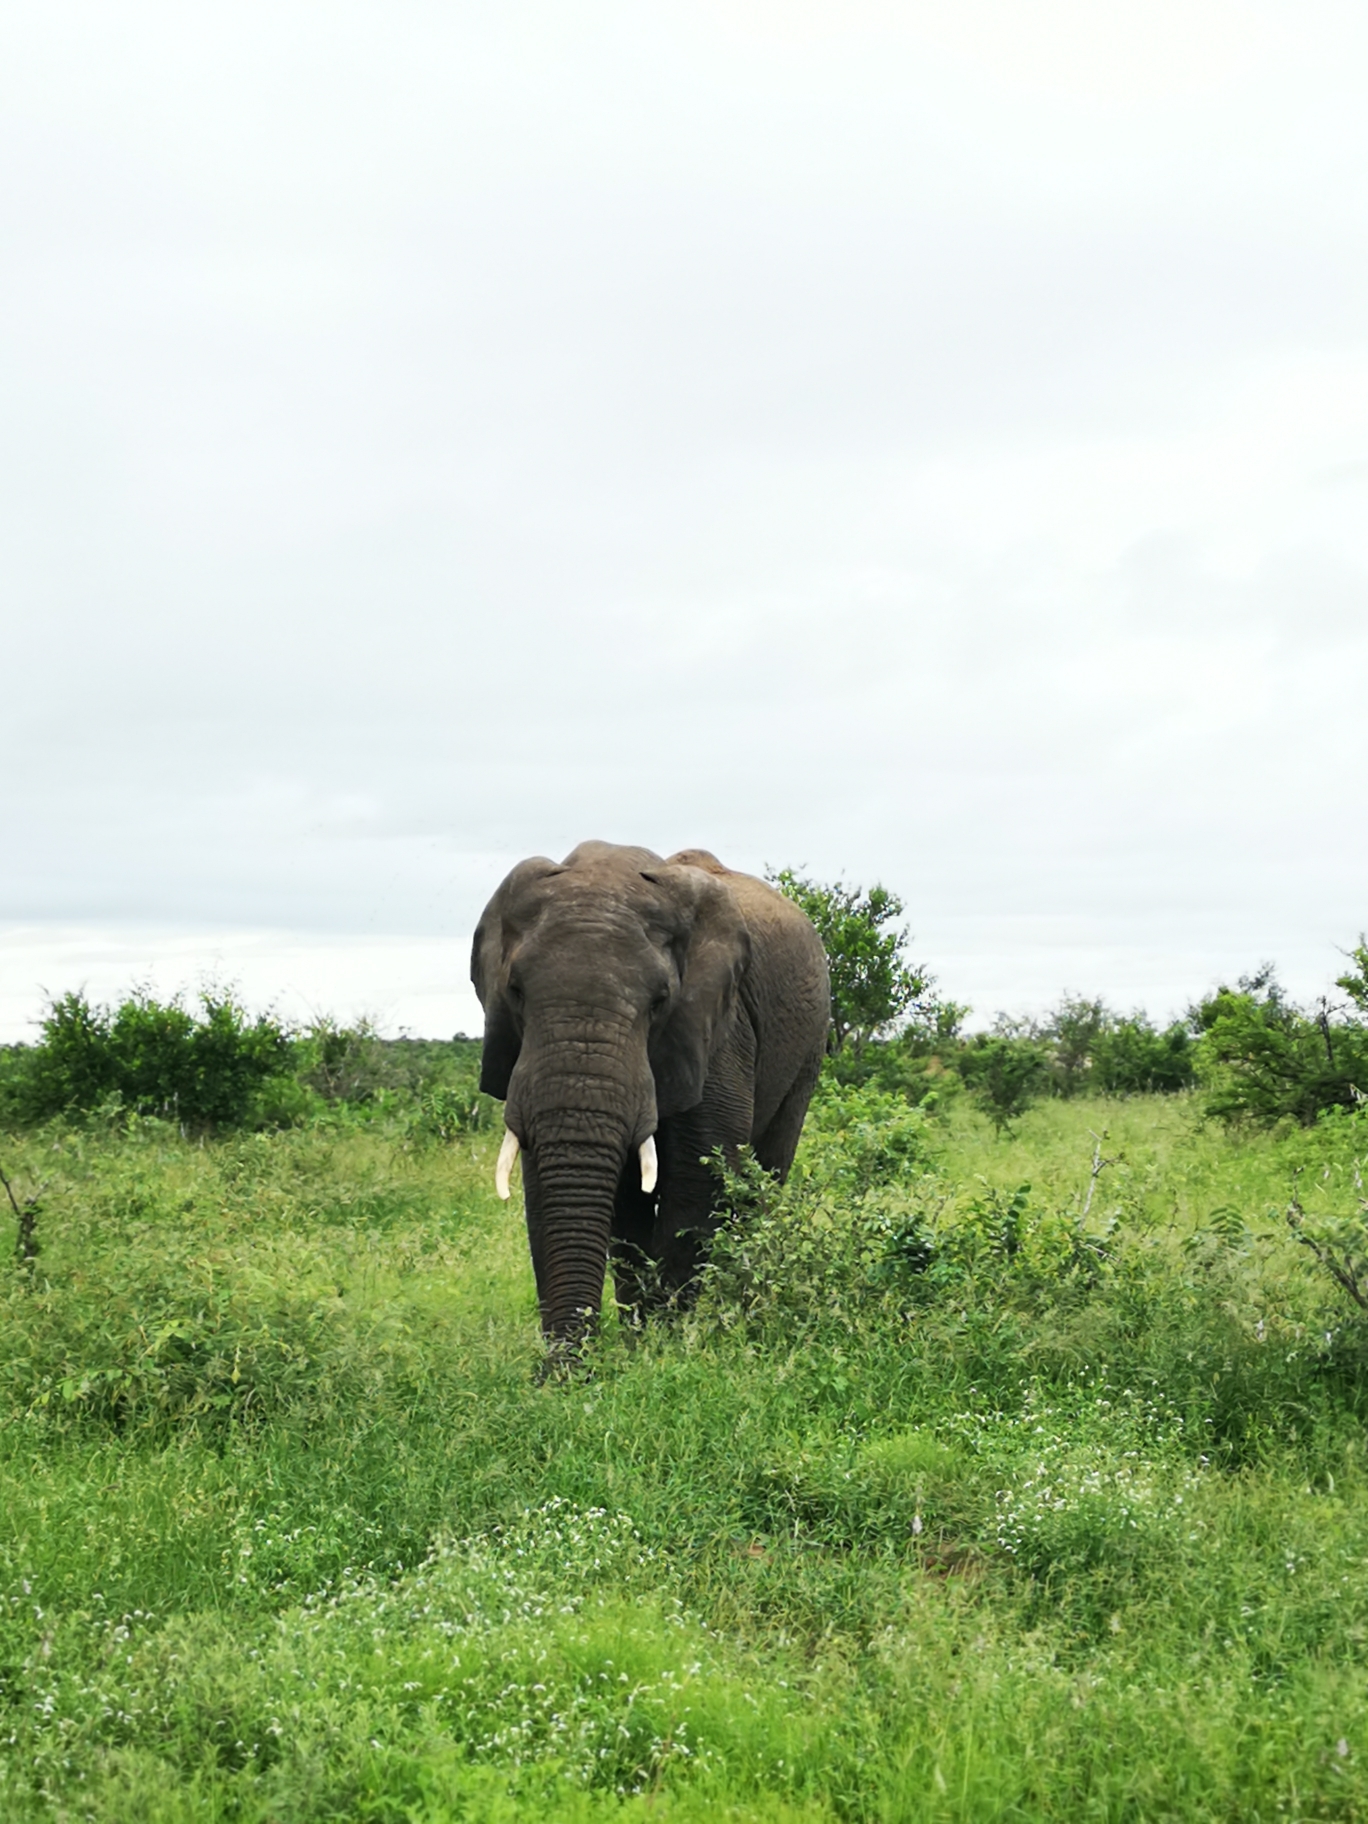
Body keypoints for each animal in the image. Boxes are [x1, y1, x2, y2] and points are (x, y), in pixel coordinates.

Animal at [477, 839, 831, 1357]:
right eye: (516, 992)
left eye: (660, 1001)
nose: (563, 1369)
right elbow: (580, 1199)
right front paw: (629, 1347)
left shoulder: (718, 1031)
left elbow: (697, 1181)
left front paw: (661, 1350)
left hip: (808, 1048)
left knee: (763, 1179)